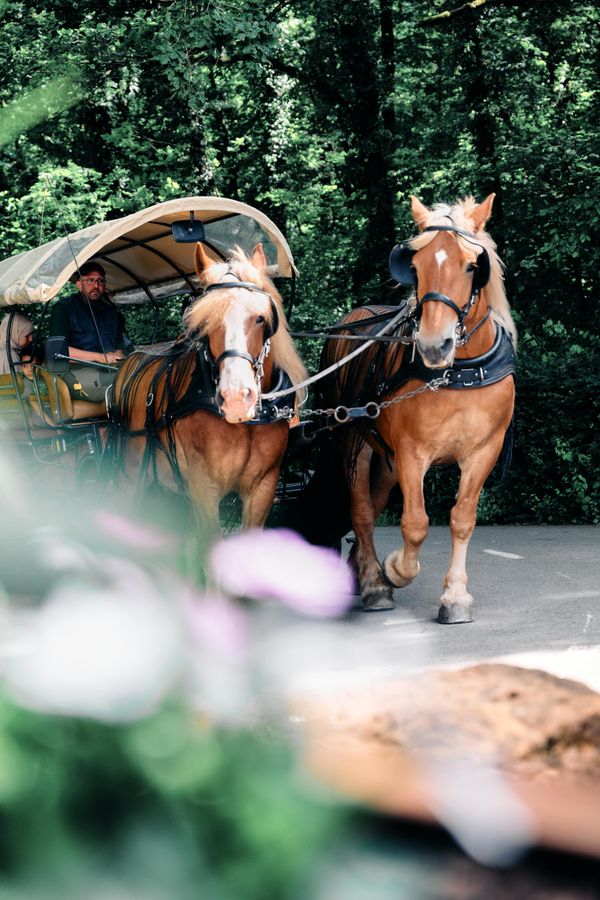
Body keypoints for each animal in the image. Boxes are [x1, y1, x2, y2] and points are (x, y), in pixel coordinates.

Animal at [110, 243, 307, 536]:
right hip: (131, 474)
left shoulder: (263, 487)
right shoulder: (204, 486)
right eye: (204, 322)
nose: (236, 399)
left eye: (260, 319)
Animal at [302, 194, 516, 624]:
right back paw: (373, 584)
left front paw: (455, 597)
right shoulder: (412, 453)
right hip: (355, 445)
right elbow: (415, 523)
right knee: (362, 512)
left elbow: (461, 519)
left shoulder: (484, 451)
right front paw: (397, 569)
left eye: (473, 266)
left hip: (384, 460)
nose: (435, 345)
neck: (458, 372)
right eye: (414, 267)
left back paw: (360, 571)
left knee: (374, 505)